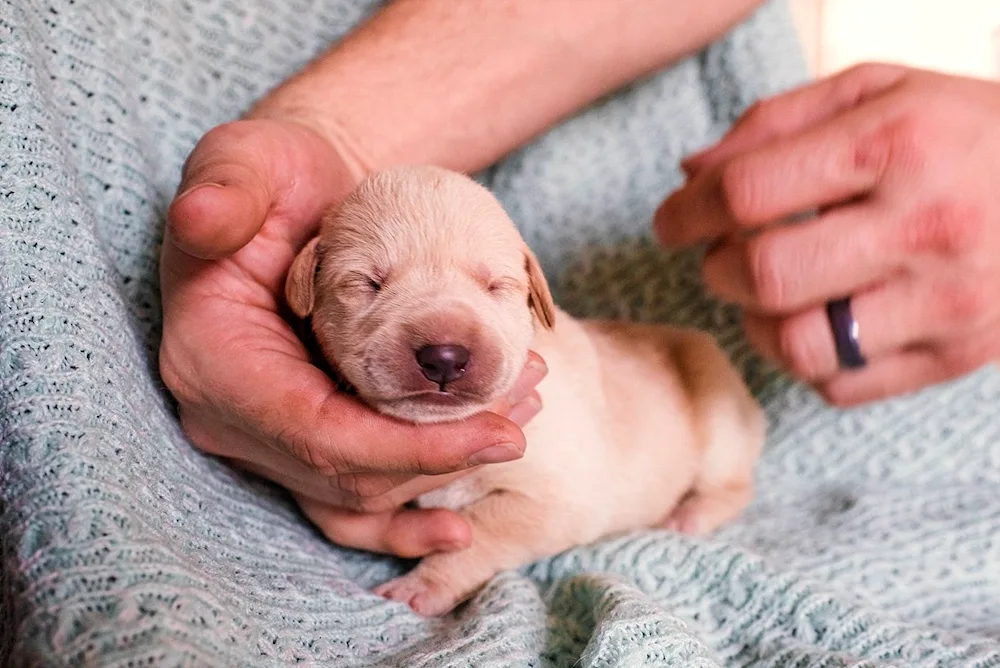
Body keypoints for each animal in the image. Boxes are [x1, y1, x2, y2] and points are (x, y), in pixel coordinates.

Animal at [284, 163, 764, 616]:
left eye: (496, 285)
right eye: (367, 283)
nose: (444, 357)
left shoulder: (557, 497)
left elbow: (481, 532)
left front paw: (423, 585)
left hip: (717, 406)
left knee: (733, 485)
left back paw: (688, 516)